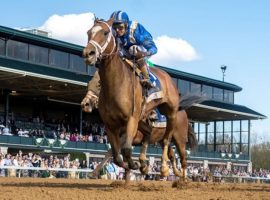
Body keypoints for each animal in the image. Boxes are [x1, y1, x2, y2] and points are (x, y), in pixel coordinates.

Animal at [82, 18, 179, 179]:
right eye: (88, 32)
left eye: (105, 32)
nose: (88, 53)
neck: (117, 84)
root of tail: (168, 77)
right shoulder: (110, 125)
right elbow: (116, 156)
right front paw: (134, 166)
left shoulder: (132, 120)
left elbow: (126, 149)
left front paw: (134, 165)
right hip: (144, 121)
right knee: (150, 134)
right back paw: (145, 163)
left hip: (171, 113)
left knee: (168, 142)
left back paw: (166, 169)